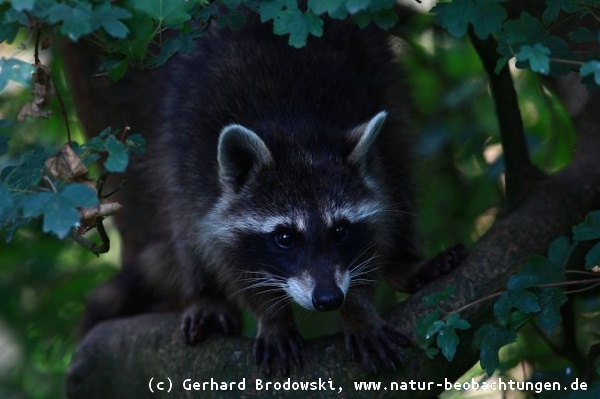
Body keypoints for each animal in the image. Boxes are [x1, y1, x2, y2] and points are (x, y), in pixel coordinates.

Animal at [64, 10, 422, 376]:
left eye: (339, 231)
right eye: (285, 237)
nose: (329, 299)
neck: (297, 132)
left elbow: (376, 231)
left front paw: (358, 309)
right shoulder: (199, 173)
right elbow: (222, 253)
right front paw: (272, 315)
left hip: (383, 75)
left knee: (399, 164)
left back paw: (404, 261)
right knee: (183, 222)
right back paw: (203, 292)